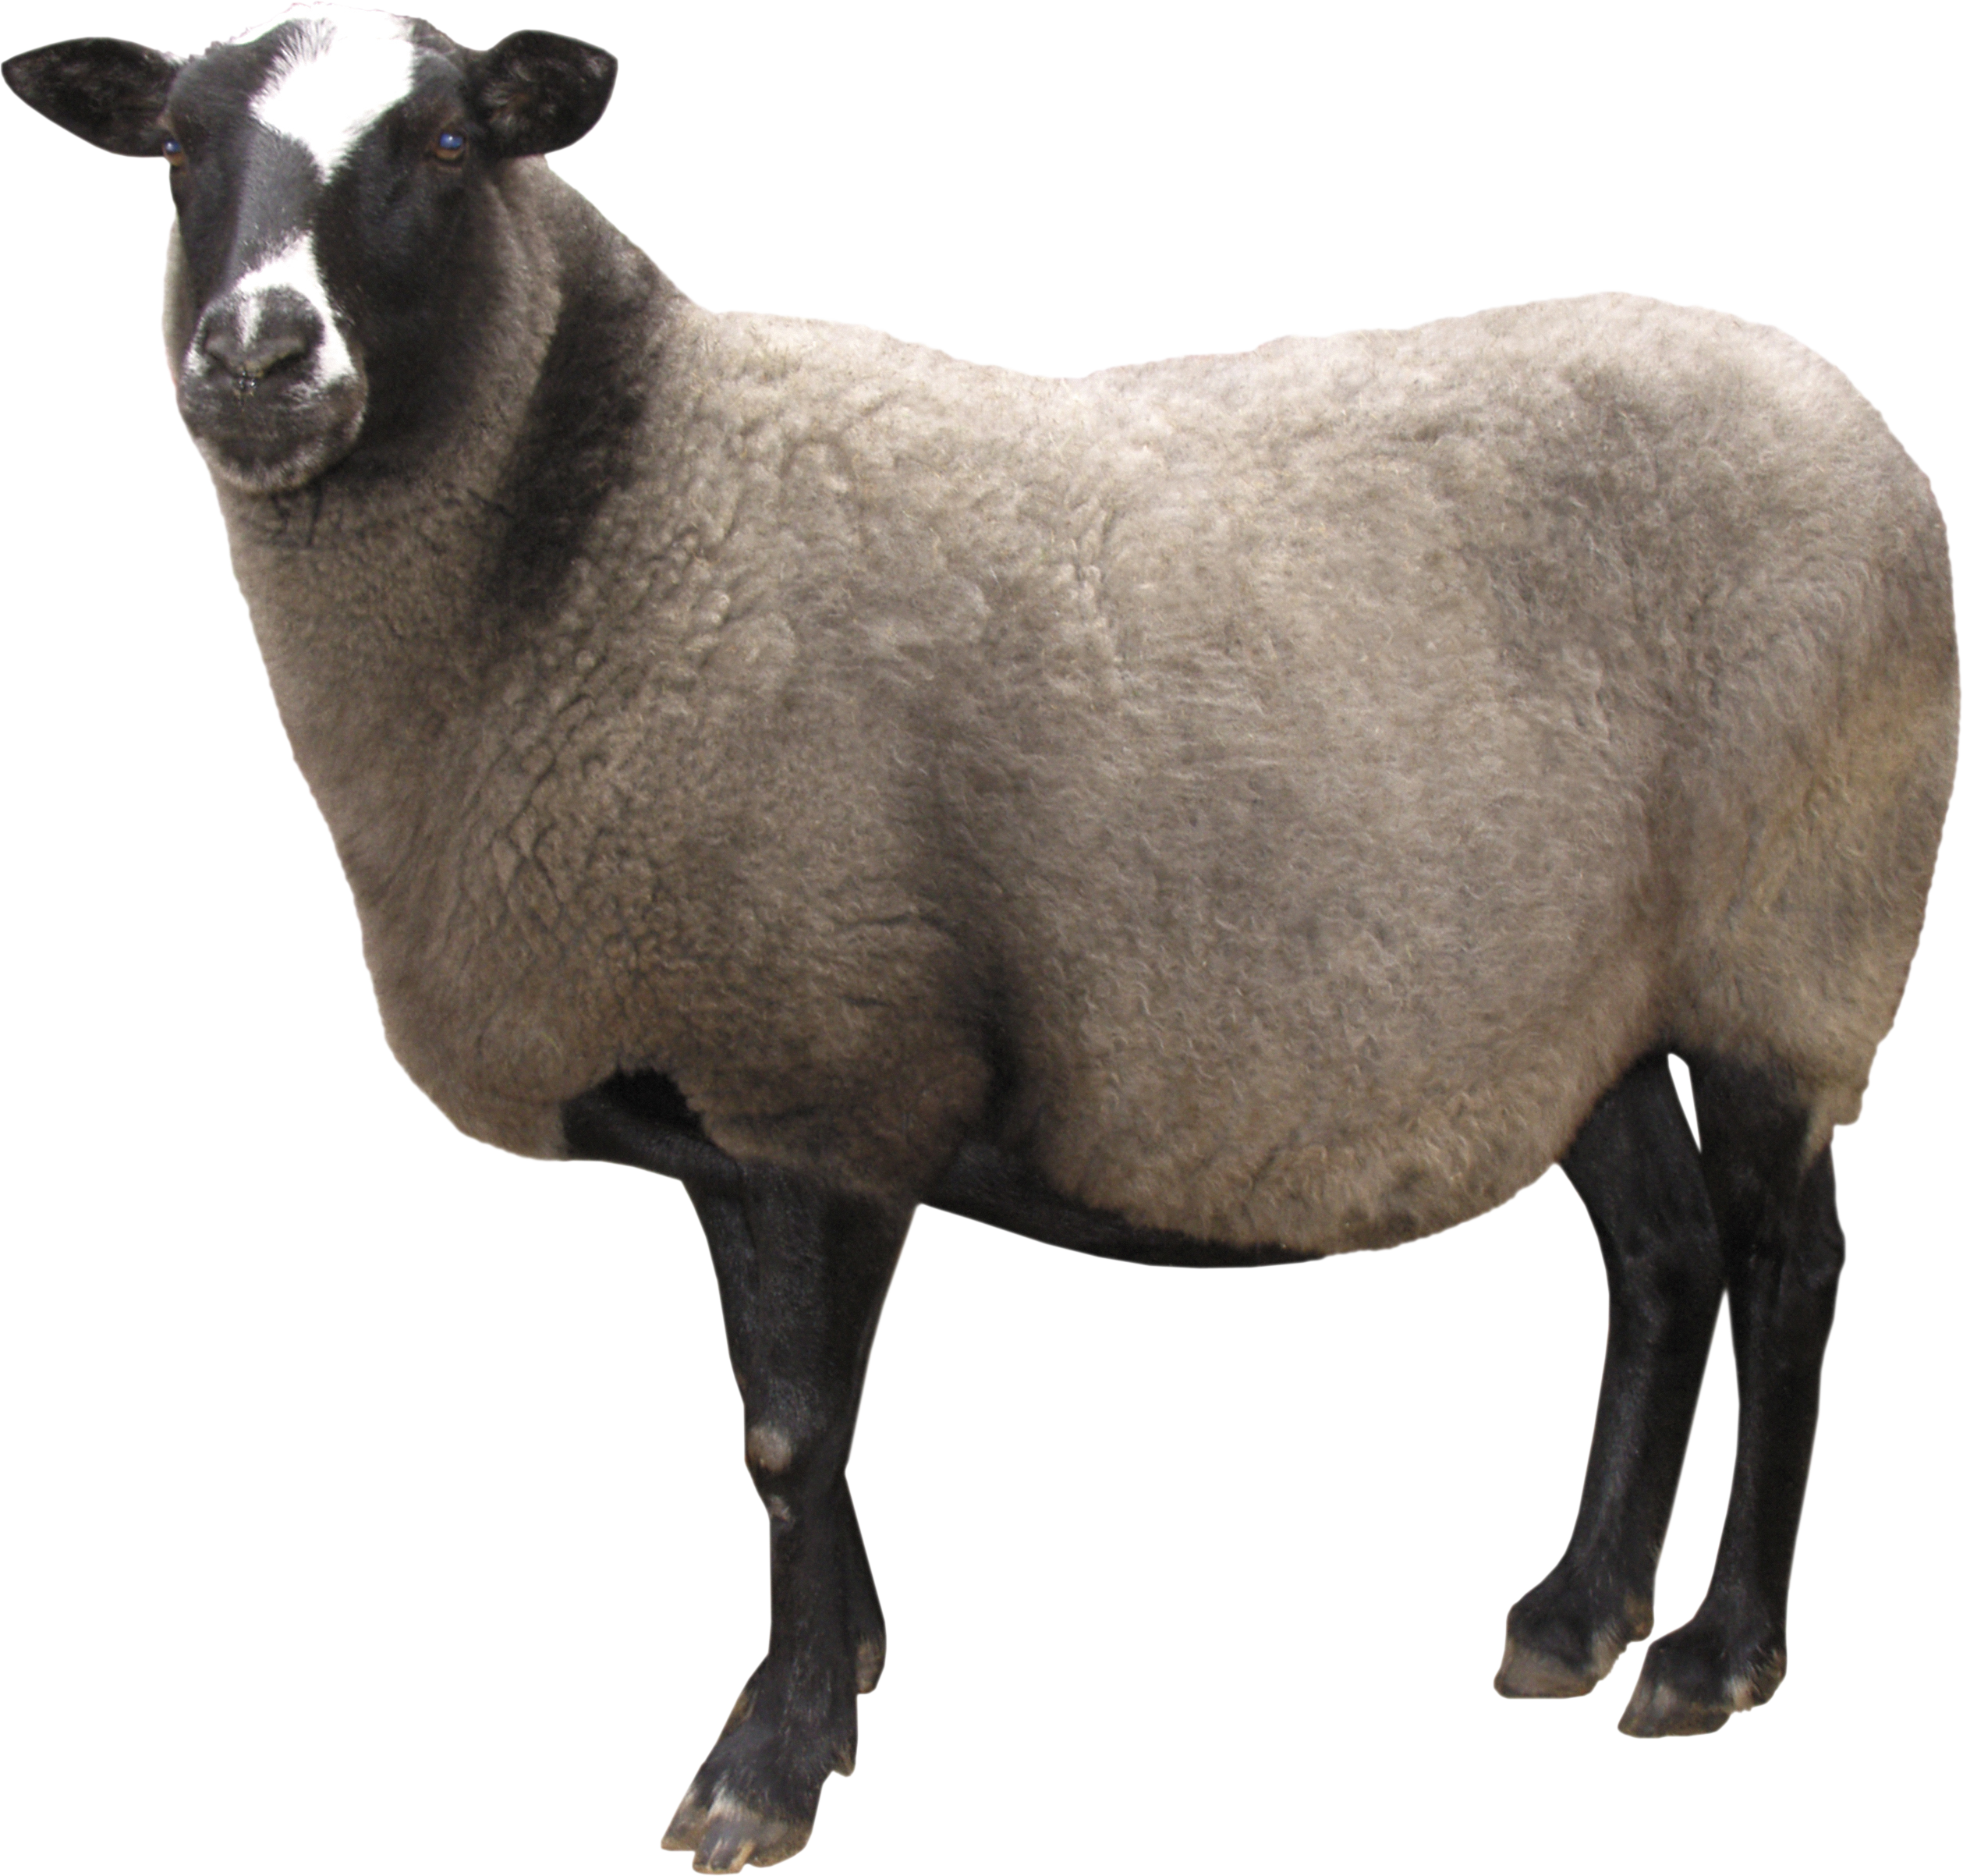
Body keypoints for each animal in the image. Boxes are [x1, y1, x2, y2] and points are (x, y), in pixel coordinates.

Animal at [4, 6, 1956, 1872]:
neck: (606, 517)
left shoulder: (835, 1060)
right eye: (177, 144)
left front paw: (765, 1764)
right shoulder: (735, 1094)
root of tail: (1848, 408)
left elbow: (791, 1431)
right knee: (1662, 1256)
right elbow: (776, 1419)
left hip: (1793, 945)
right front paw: (843, 1664)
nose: (260, 358)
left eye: (447, 140)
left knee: (1787, 1268)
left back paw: (1713, 1652)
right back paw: (1573, 1611)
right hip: (1584, 998)